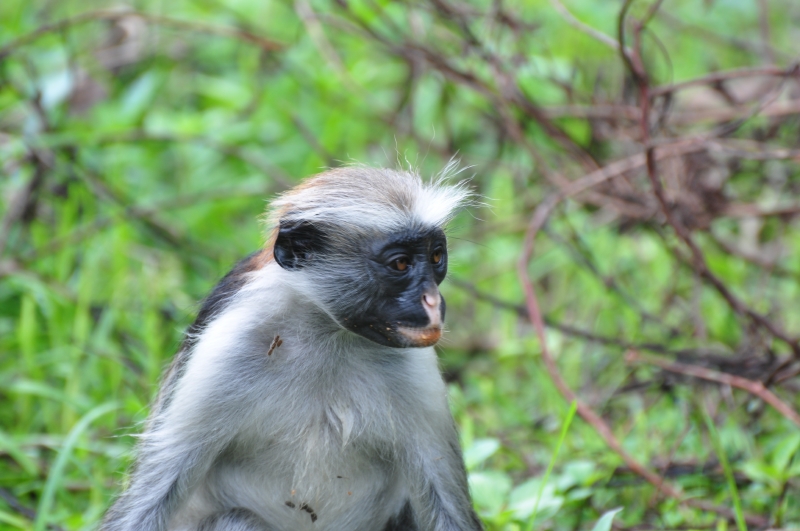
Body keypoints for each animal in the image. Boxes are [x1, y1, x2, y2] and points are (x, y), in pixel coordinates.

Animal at [100, 165, 483, 531]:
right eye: (400, 263)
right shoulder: (227, 343)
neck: (327, 336)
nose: (433, 302)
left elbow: (449, 508)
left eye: (436, 258)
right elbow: (149, 501)